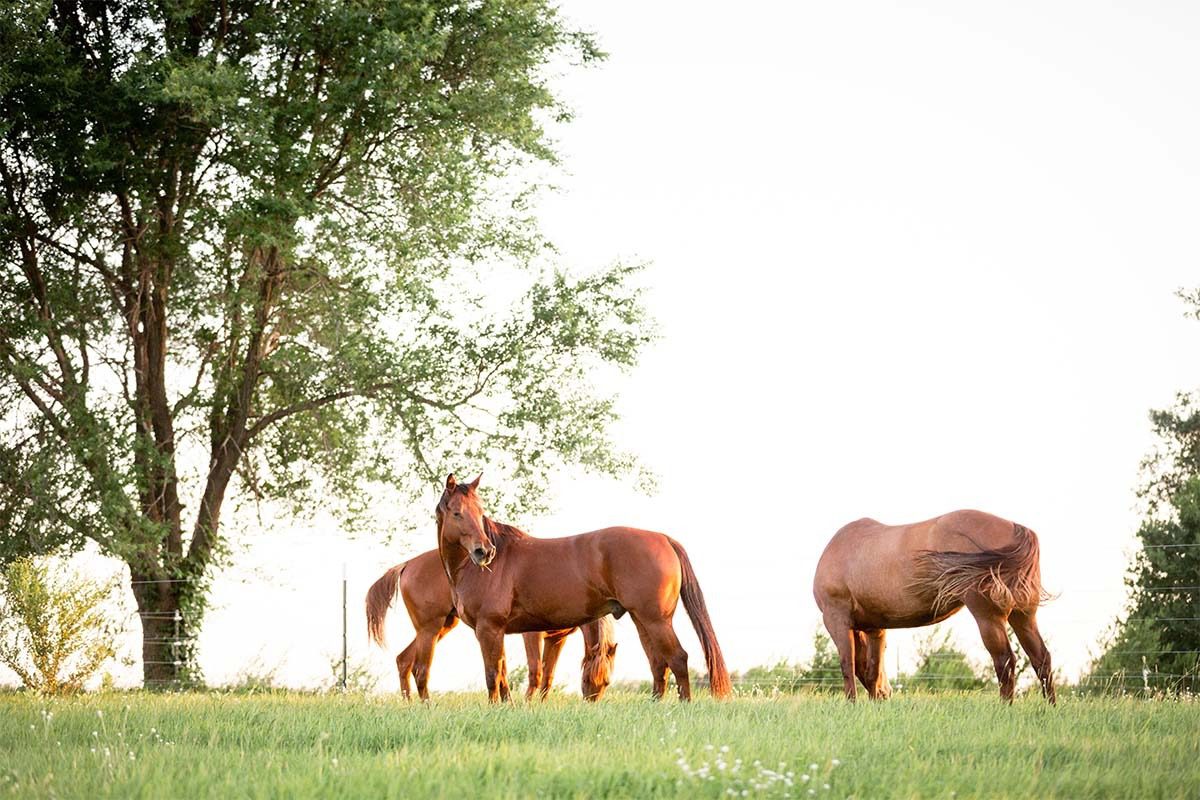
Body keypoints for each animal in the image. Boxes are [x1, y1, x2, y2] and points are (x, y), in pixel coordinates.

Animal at [366, 549, 617, 701]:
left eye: (606, 682)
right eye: (586, 679)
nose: (590, 704)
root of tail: (407, 564)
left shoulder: (557, 638)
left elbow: (548, 676)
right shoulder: (532, 634)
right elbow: (535, 672)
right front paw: (527, 704)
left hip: (441, 627)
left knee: (403, 660)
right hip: (430, 628)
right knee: (417, 667)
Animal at [436, 473, 731, 702]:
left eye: (480, 513)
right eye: (457, 513)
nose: (484, 552)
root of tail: (663, 538)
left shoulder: (490, 629)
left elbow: (493, 675)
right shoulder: (498, 631)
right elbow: (503, 675)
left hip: (656, 619)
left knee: (678, 658)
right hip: (642, 620)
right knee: (659, 663)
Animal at [813, 509, 1054, 703]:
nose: (887, 694)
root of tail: (1018, 530)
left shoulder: (837, 620)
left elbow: (848, 664)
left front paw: (852, 705)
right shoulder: (876, 628)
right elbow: (873, 670)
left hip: (988, 617)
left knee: (1004, 660)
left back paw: (1005, 708)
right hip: (1023, 617)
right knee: (1041, 658)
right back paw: (1049, 707)